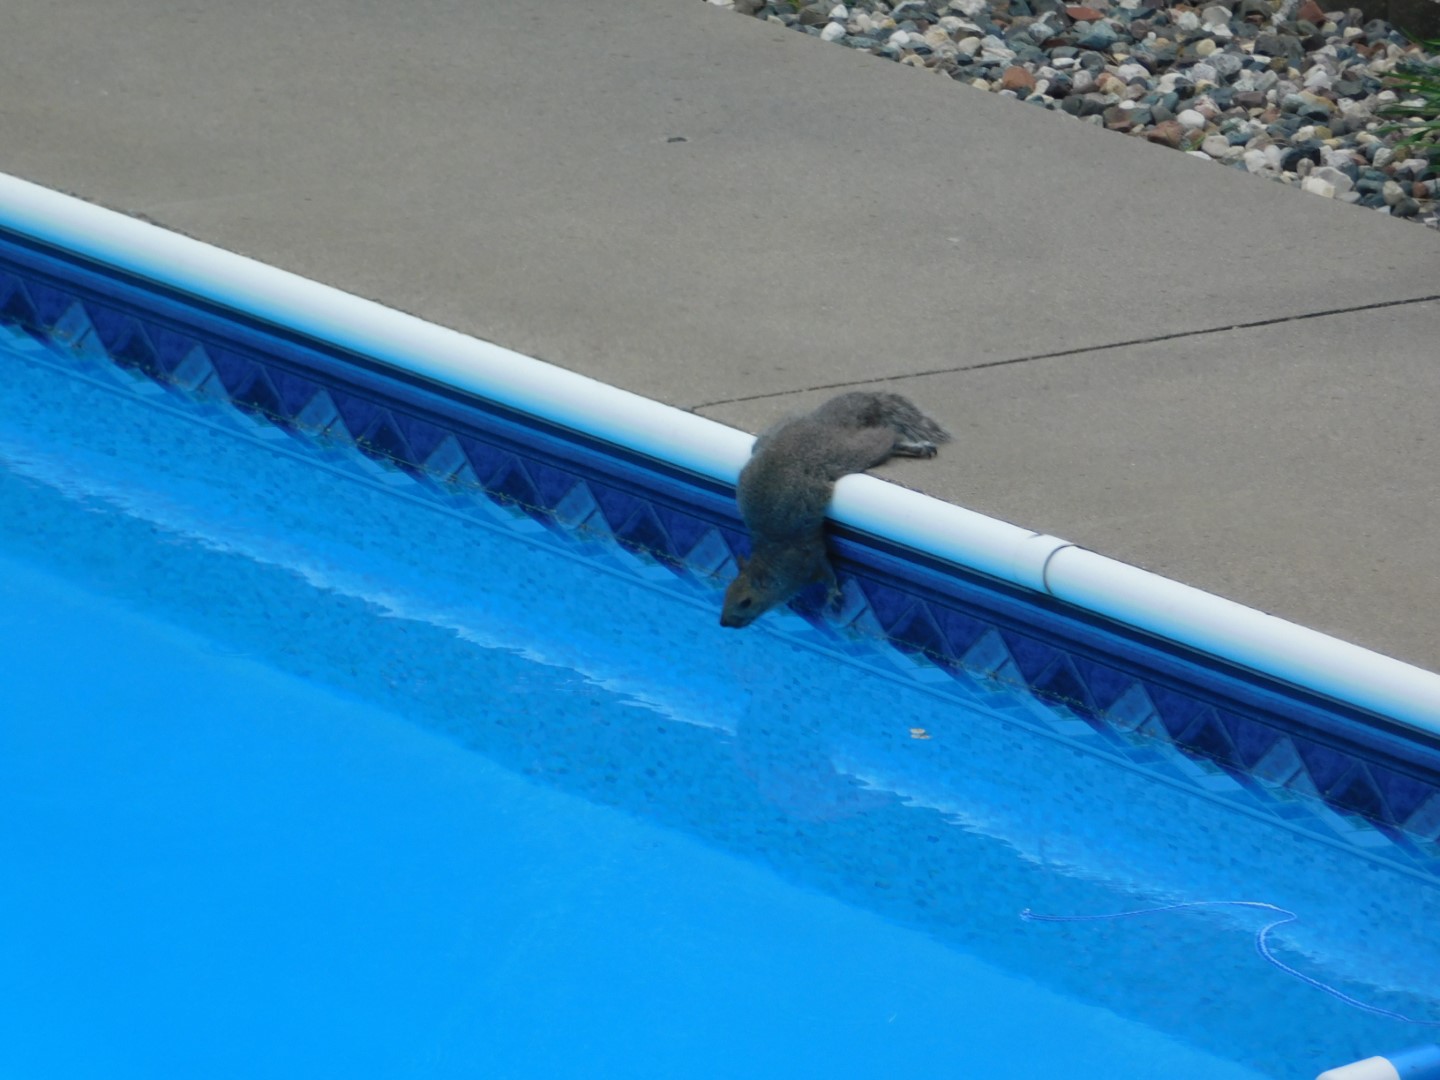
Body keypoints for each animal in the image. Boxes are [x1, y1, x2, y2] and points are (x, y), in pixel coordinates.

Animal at [719, 391, 950, 628]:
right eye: (725, 594)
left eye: (746, 602)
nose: (724, 622)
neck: (771, 559)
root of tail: (822, 421)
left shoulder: (808, 558)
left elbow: (828, 572)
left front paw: (833, 595)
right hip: (769, 438)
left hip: (849, 451)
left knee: (888, 437)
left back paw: (915, 446)